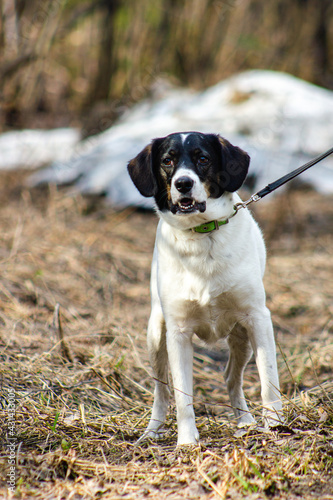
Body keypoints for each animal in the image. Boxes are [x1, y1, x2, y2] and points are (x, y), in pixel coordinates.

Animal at [127, 133, 280, 446]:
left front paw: (275, 423)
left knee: (231, 377)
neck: (202, 235)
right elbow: (183, 396)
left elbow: (268, 380)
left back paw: (245, 422)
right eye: (167, 160)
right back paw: (152, 431)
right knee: (162, 390)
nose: (183, 183)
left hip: (242, 338)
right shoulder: (177, 332)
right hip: (155, 335)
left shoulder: (258, 318)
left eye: (203, 158)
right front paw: (187, 442)